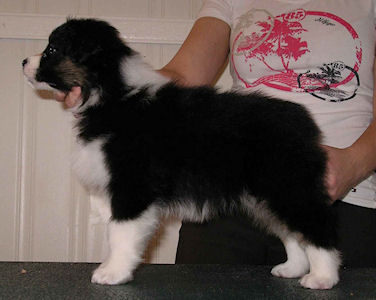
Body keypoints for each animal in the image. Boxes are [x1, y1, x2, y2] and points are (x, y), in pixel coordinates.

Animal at [22, 18, 340, 288]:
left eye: (51, 50)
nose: (23, 60)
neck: (113, 94)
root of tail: (304, 122)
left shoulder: (132, 186)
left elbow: (120, 233)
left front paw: (112, 273)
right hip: (265, 194)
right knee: (291, 232)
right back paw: (293, 268)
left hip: (287, 184)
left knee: (315, 225)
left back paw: (323, 277)